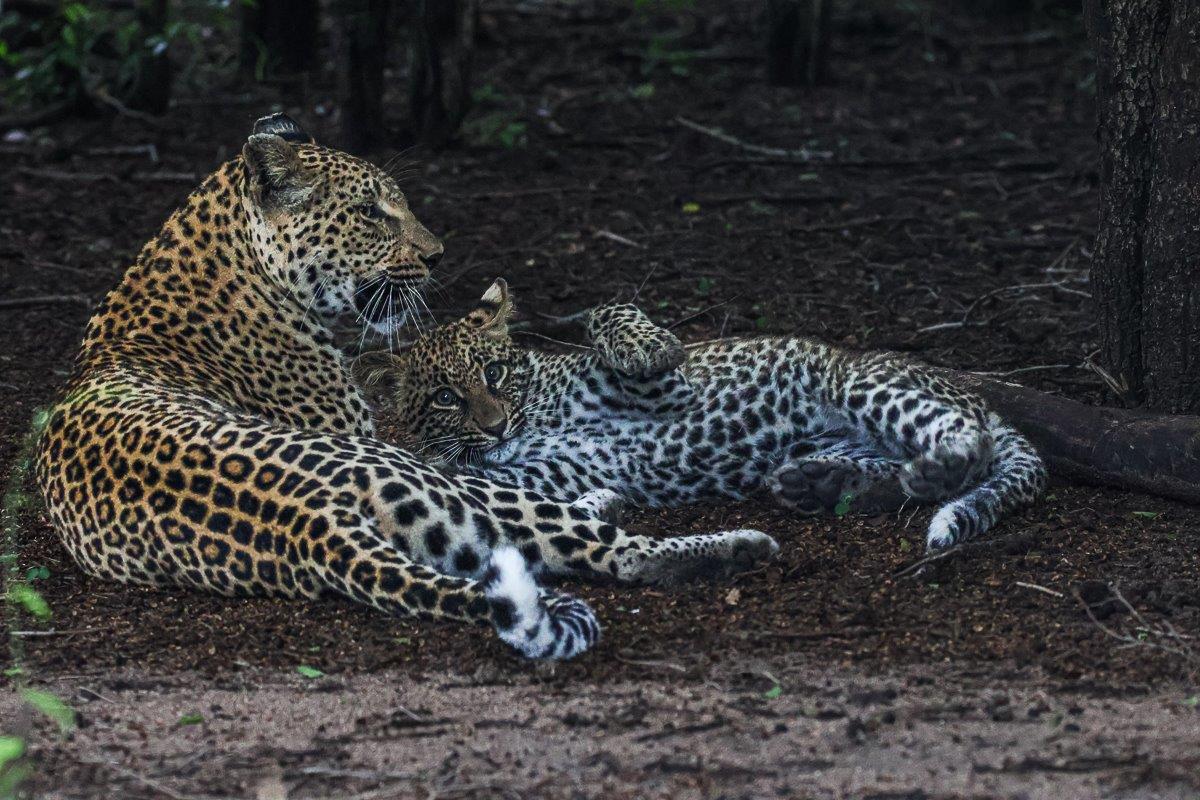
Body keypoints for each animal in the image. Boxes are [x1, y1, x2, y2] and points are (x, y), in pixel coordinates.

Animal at [33, 113, 778, 662]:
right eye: (370, 213)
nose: (438, 256)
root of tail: (306, 525)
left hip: (435, 526)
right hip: (425, 482)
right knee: (607, 548)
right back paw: (737, 545)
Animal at [362, 279, 1047, 550]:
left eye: (495, 374)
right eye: (445, 399)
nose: (495, 426)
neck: (535, 417)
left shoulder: (668, 387)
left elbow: (608, 311)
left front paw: (648, 344)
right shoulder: (550, 475)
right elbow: (461, 473)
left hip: (859, 381)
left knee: (971, 446)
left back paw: (931, 468)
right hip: (855, 438)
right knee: (901, 473)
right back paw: (828, 483)